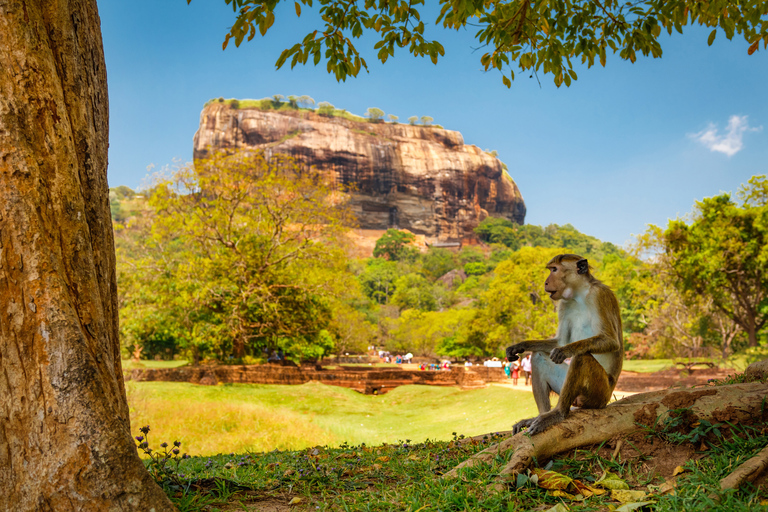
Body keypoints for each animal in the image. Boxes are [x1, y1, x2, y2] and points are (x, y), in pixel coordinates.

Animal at [504, 254, 624, 434]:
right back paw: (543, 415)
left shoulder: (600, 295)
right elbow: (559, 341)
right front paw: (519, 346)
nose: (546, 282)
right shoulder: (564, 304)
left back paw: (558, 413)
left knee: (582, 357)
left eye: (554, 270)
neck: (579, 294)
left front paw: (566, 350)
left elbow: (611, 340)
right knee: (538, 356)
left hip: (599, 394)